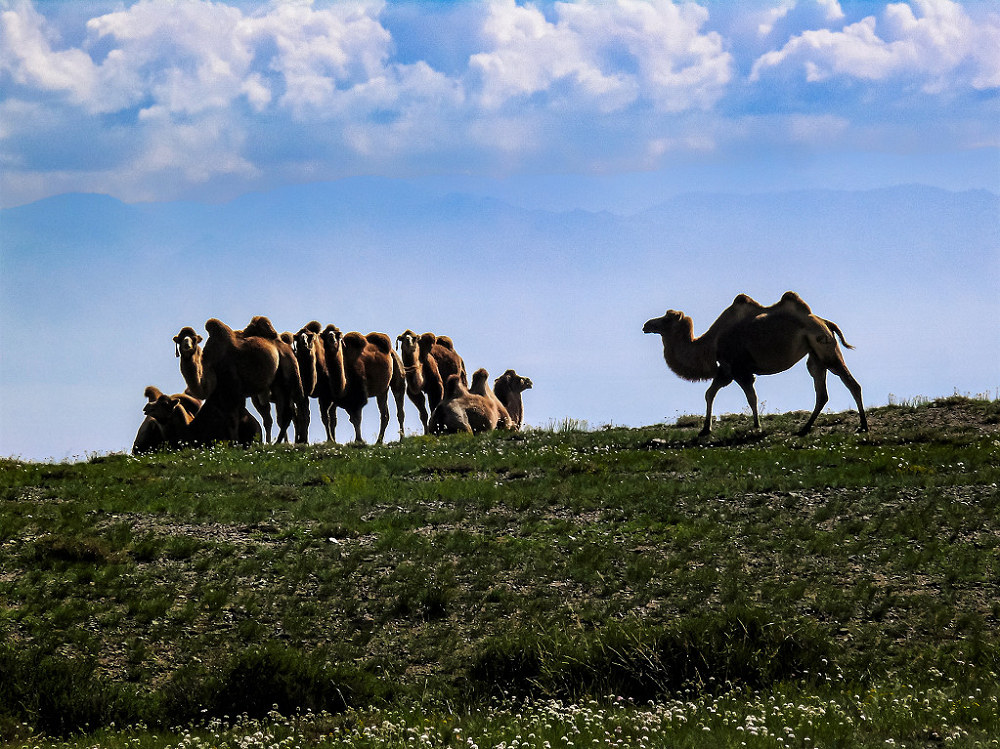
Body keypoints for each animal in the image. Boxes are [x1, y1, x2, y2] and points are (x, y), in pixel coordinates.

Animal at [640, 290, 868, 436]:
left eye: (666, 319)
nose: (646, 325)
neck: (711, 344)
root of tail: (826, 322)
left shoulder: (738, 369)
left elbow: (751, 397)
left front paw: (757, 426)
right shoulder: (726, 370)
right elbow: (709, 393)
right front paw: (705, 429)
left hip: (825, 349)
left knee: (850, 383)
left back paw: (863, 426)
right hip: (816, 355)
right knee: (822, 392)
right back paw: (804, 429)